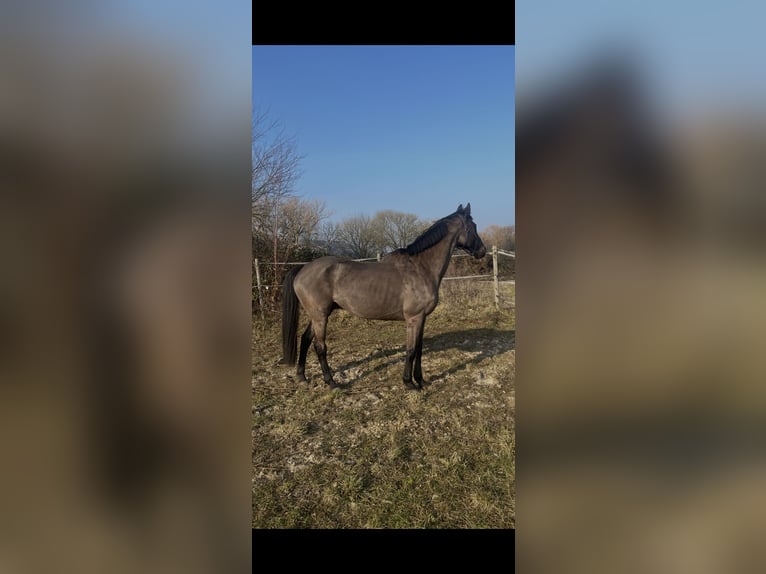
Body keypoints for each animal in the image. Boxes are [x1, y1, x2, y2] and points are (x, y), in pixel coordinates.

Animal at [281, 203, 487, 390]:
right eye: (473, 226)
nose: (482, 251)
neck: (421, 267)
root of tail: (303, 268)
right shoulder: (414, 318)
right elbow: (411, 350)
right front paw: (409, 383)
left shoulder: (422, 318)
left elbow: (419, 350)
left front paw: (420, 380)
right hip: (320, 316)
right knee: (320, 346)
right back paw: (331, 382)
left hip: (317, 315)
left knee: (305, 339)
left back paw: (302, 376)